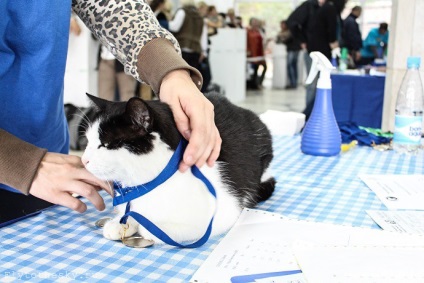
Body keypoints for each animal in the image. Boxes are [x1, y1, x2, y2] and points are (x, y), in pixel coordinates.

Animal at [82, 93, 274, 246]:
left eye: (106, 144)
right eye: (88, 141)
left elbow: (152, 229)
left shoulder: (222, 212)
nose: (84, 160)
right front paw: (120, 223)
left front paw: (145, 226)